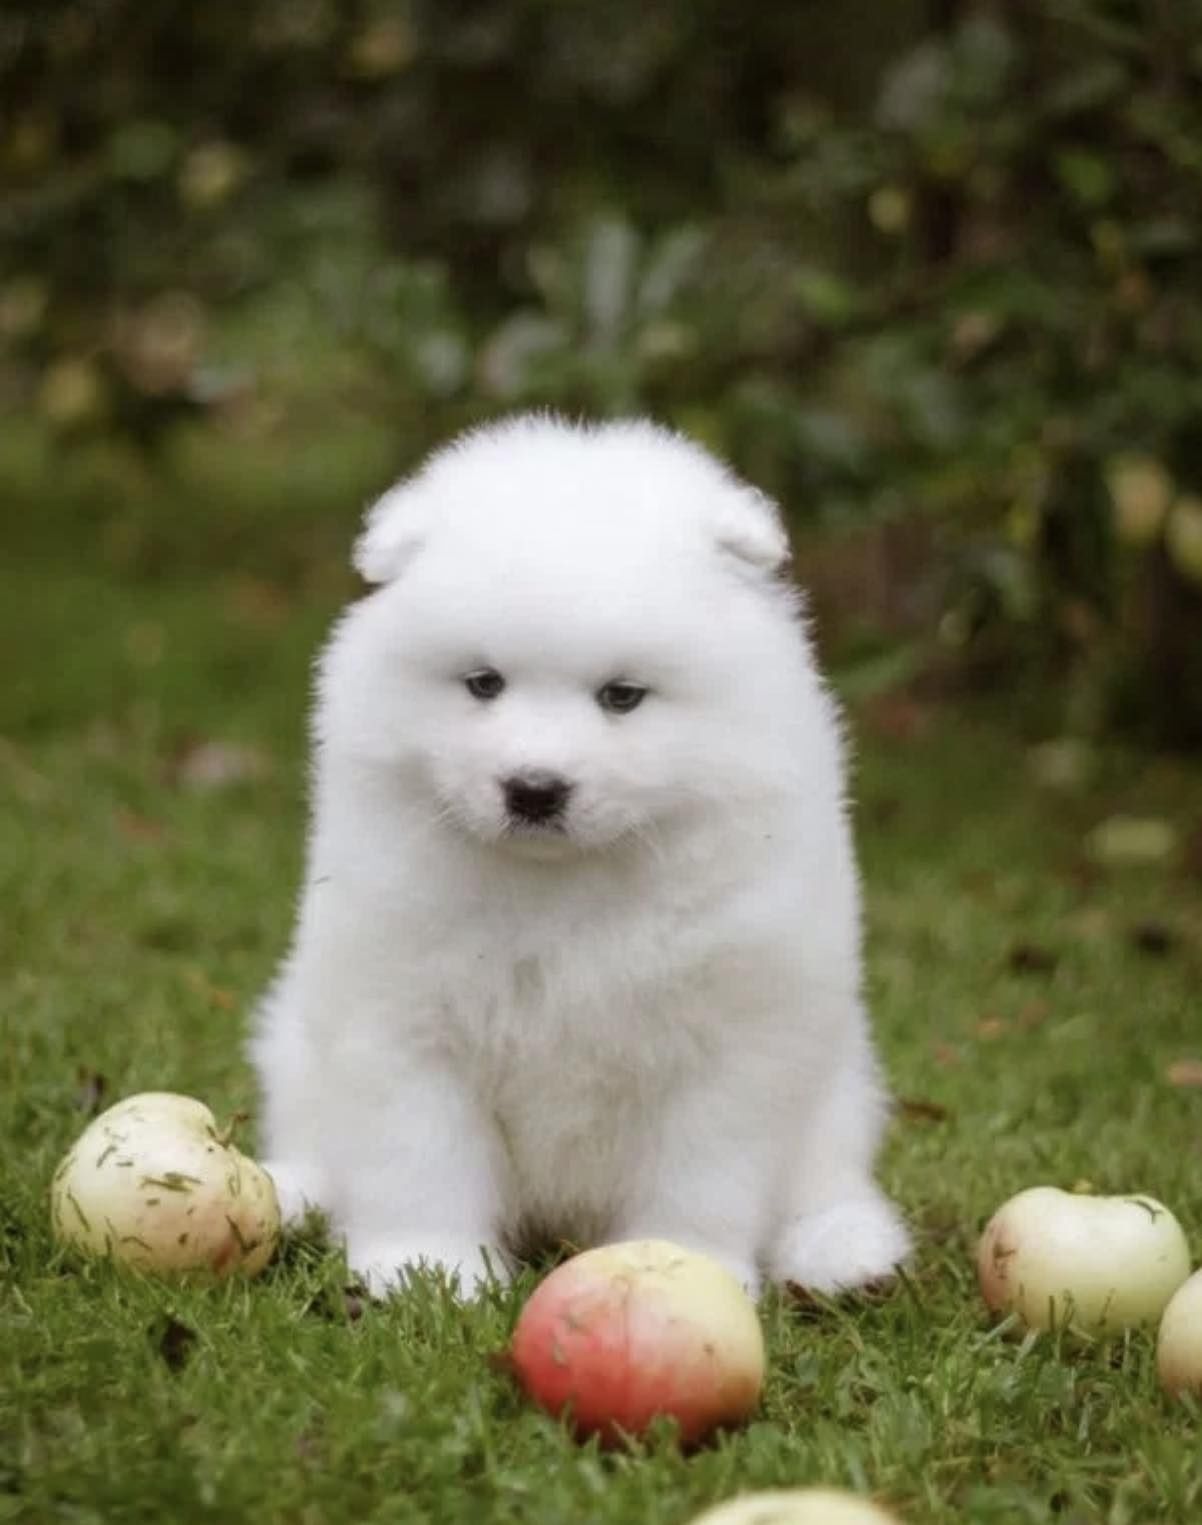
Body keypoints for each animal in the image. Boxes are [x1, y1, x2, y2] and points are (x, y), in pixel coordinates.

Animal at [253, 411, 909, 1293]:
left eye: (622, 696)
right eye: (484, 683)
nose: (534, 789)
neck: (564, 885)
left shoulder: (730, 1043)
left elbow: (701, 1173)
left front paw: (685, 1263)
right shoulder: (404, 1016)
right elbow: (420, 1155)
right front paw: (429, 1267)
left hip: (839, 1091)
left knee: (822, 1181)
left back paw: (846, 1249)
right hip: (294, 1054)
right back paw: (287, 1195)